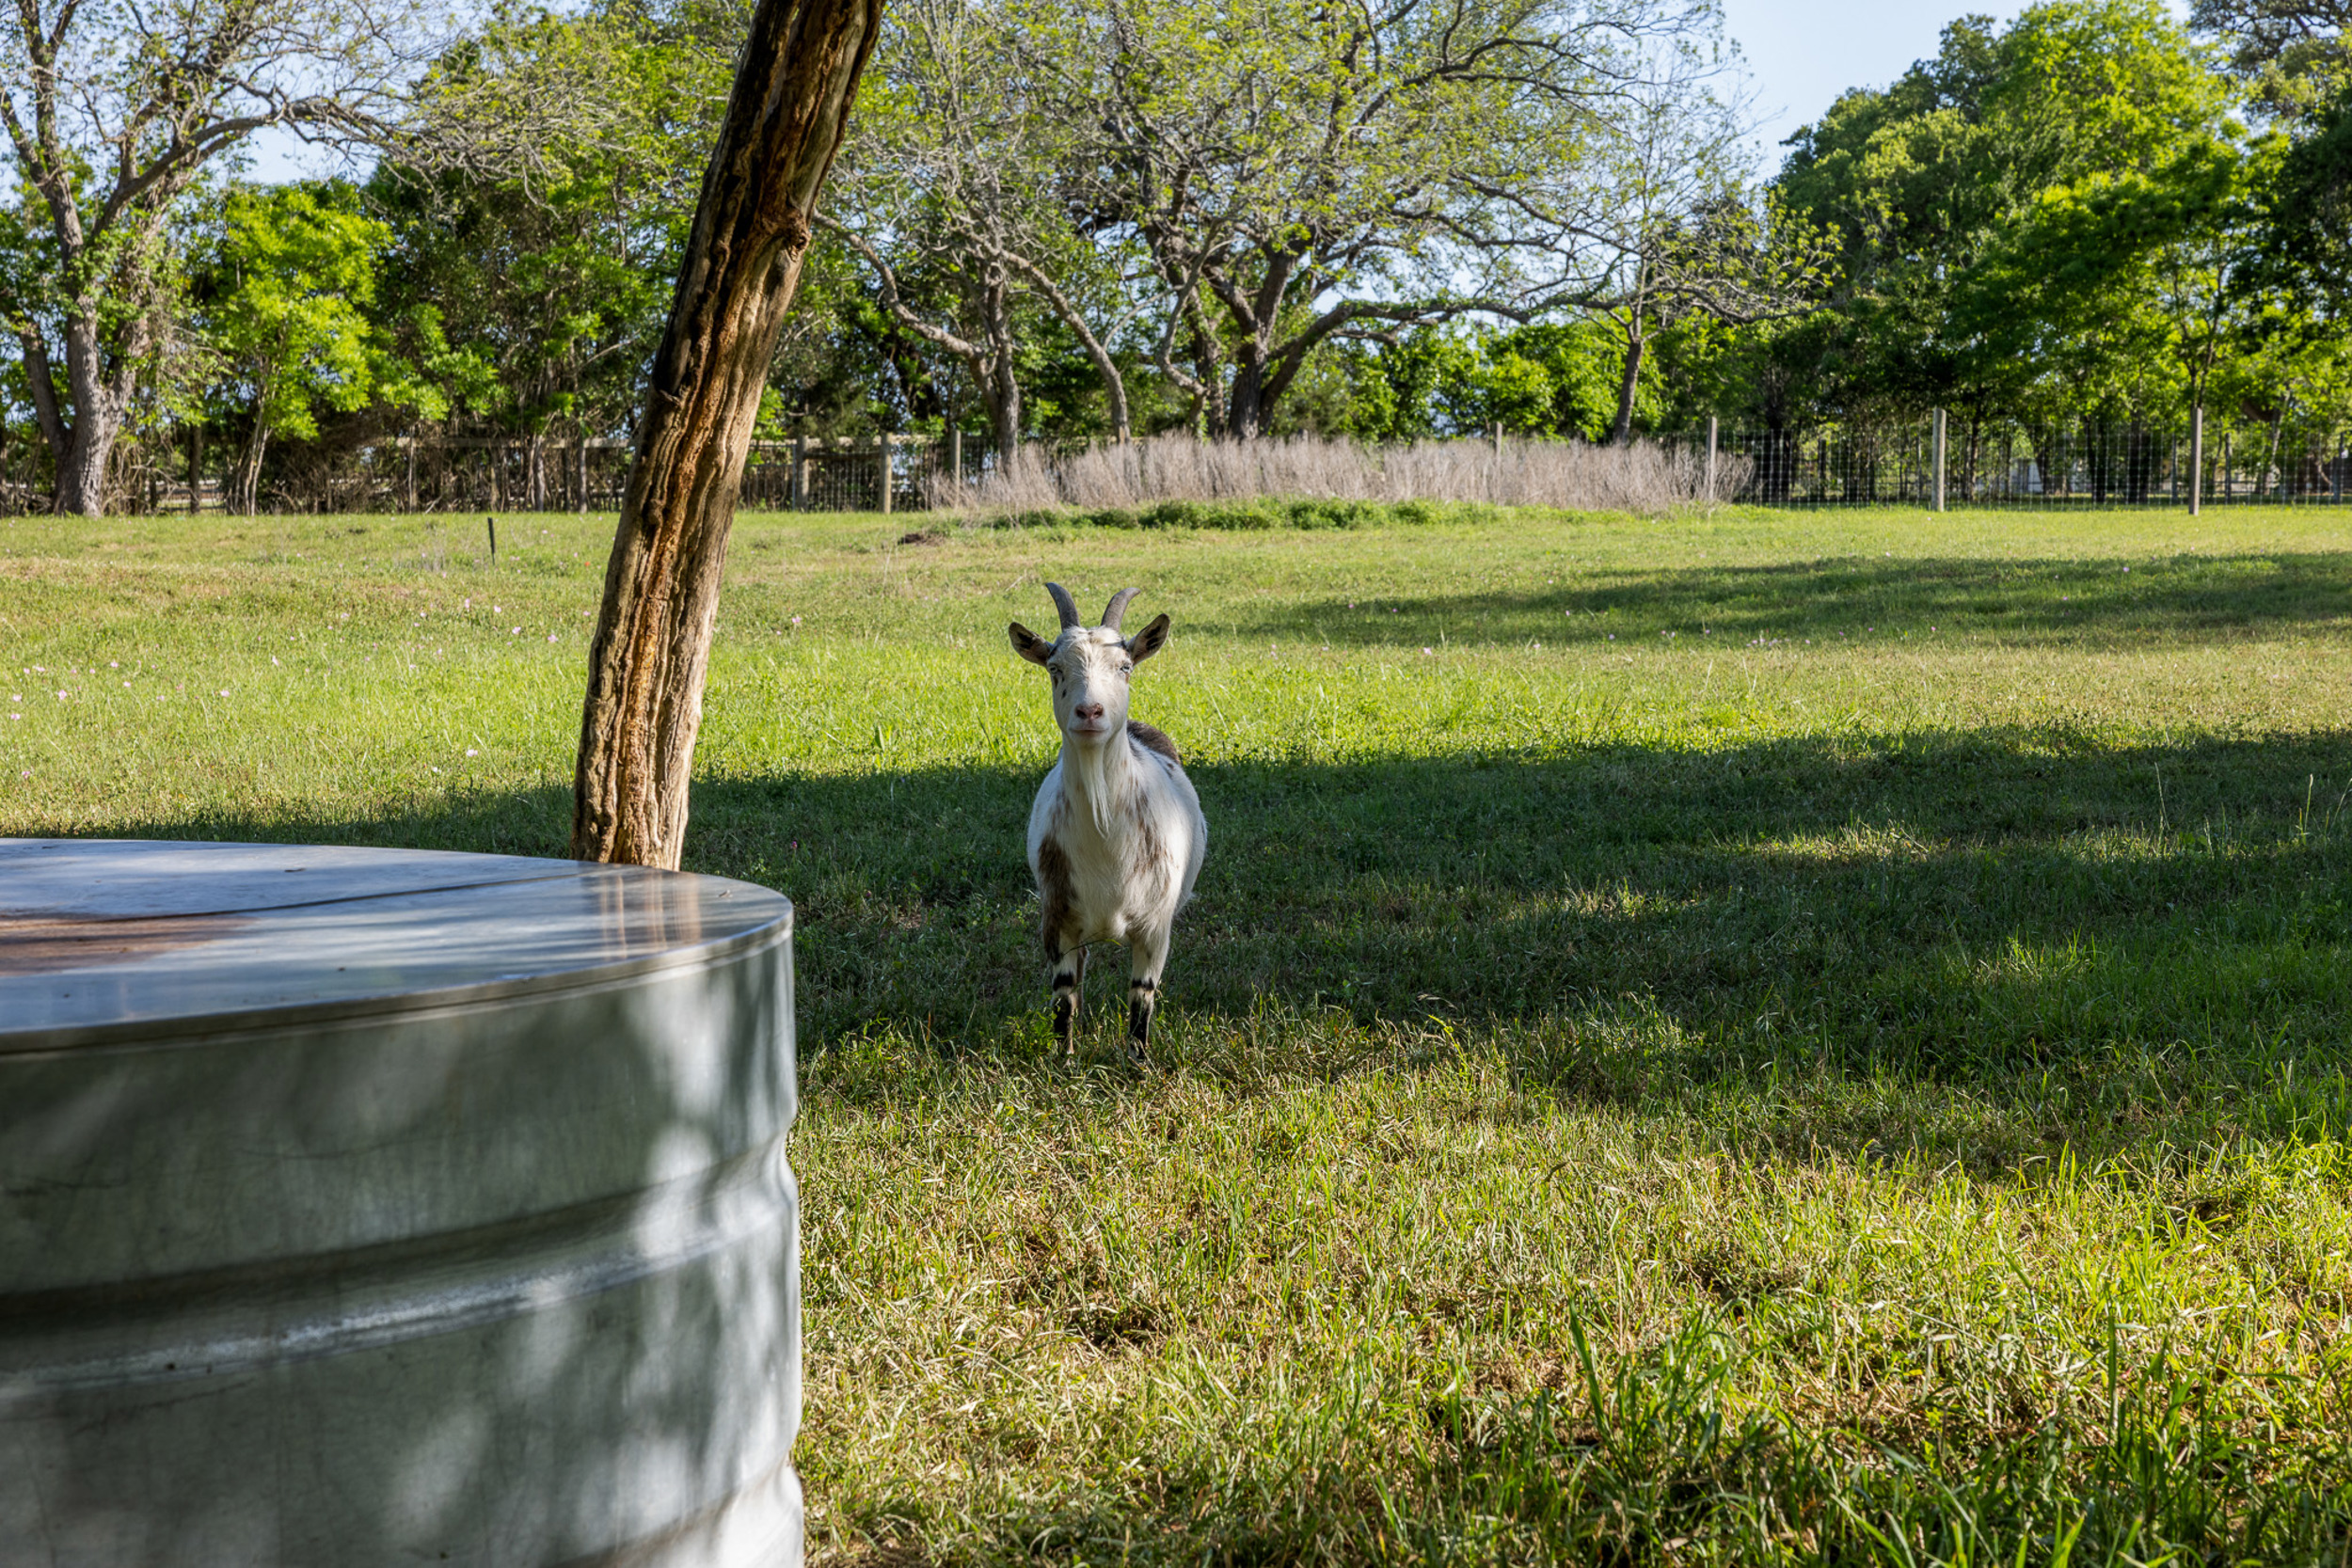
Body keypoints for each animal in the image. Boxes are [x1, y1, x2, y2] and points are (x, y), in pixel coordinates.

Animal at [1008, 583, 1207, 1058]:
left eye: (1125, 666)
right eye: (1055, 668)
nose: (1090, 712)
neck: (1107, 841)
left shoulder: (1155, 927)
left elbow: (1141, 998)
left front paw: (1138, 1063)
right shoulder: (1057, 917)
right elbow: (1064, 995)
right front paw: (1064, 1062)